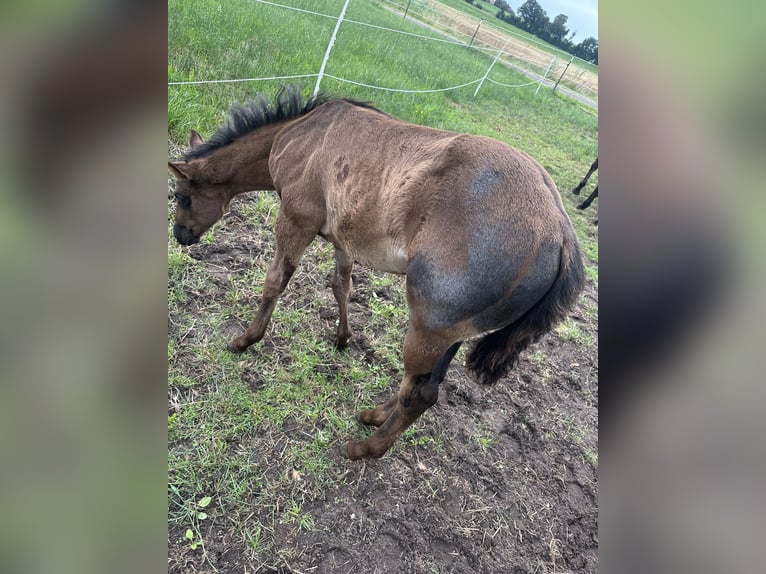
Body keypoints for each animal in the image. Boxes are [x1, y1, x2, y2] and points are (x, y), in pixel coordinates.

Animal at [168, 86, 584, 460]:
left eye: (181, 195)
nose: (181, 236)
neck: (303, 133)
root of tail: (561, 233)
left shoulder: (295, 220)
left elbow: (275, 282)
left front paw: (245, 340)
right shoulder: (342, 237)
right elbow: (342, 285)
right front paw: (342, 338)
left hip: (427, 328)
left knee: (419, 394)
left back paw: (365, 448)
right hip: (452, 333)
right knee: (423, 386)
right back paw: (375, 415)